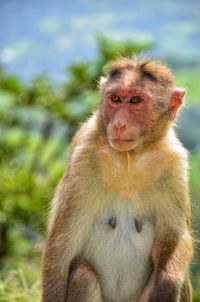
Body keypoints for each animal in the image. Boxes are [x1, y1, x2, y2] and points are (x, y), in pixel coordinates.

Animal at [41, 57, 194, 302]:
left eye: (135, 100)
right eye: (115, 99)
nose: (119, 124)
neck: (128, 158)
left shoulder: (174, 163)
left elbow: (174, 236)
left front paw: (167, 284)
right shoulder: (83, 156)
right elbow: (61, 249)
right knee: (82, 274)